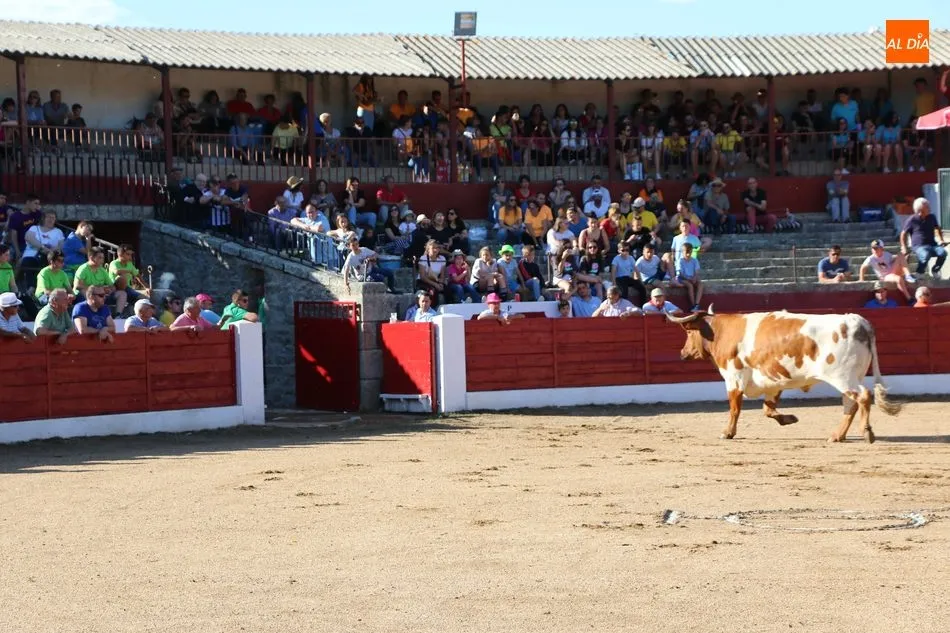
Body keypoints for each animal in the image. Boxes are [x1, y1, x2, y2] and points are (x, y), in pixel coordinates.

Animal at [667, 305, 901, 443]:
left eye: (689, 332)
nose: (682, 353)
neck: (721, 332)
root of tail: (858, 322)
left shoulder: (733, 377)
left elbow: (735, 408)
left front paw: (728, 433)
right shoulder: (773, 382)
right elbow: (768, 409)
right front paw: (789, 419)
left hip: (843, 377)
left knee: (862, 397)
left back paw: (867, 432)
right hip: (852, 376)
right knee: (850, 404)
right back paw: (837, 435)